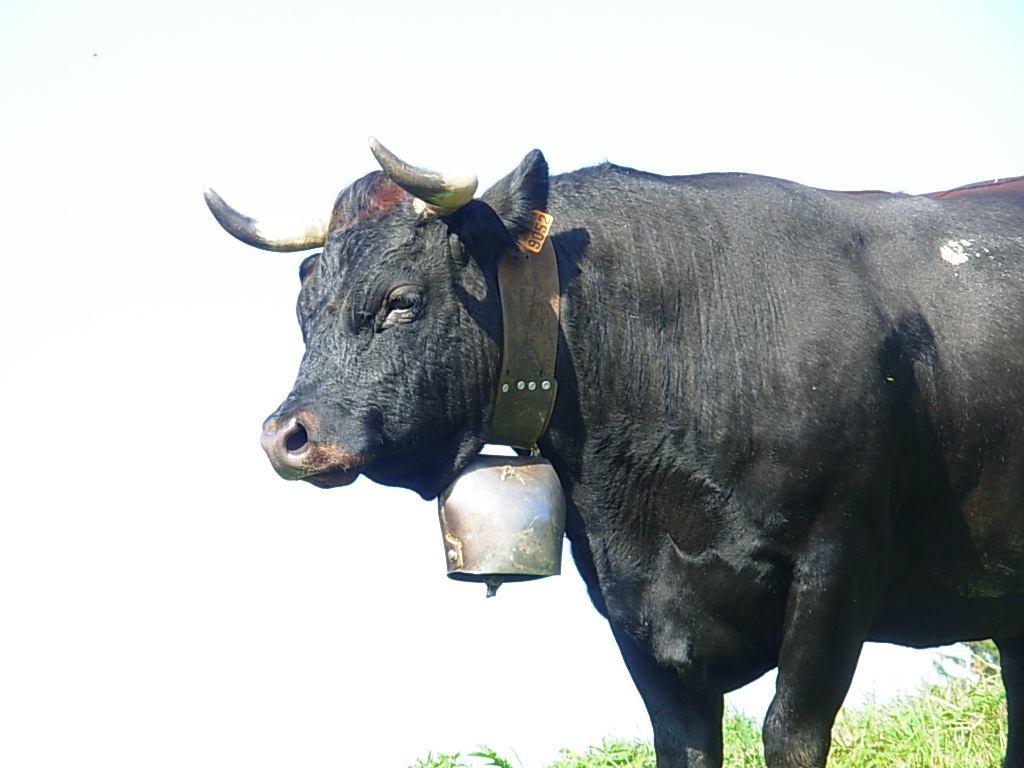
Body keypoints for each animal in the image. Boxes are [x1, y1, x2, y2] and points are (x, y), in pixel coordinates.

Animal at [205, 139, 1024, 768]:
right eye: (303, 309)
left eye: (400, 300)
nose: (286, 436)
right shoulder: (629, 606)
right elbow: (685, 744)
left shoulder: (838, 564)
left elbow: (790, 735)